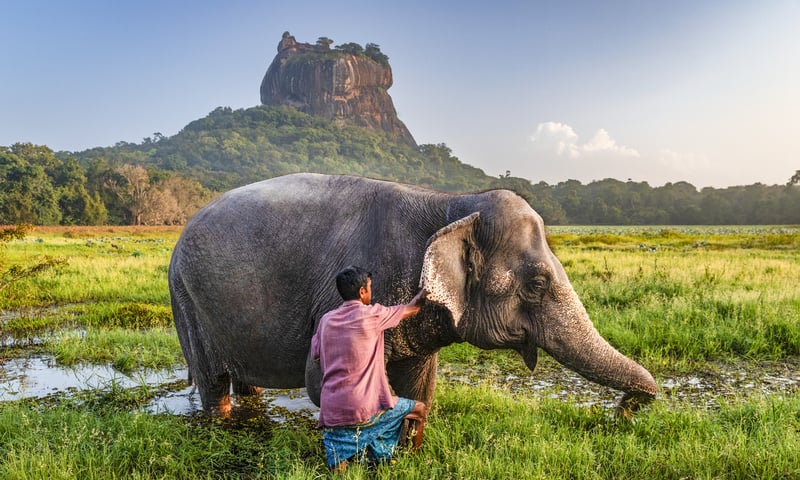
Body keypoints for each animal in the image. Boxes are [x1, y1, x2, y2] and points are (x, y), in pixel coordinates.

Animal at [169, 173, 657, 417]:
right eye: (537, 283)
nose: (627, 409)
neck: (452, 201)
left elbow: (421, 388)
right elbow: (318, 383)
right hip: (186, 301)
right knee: (213, 383)